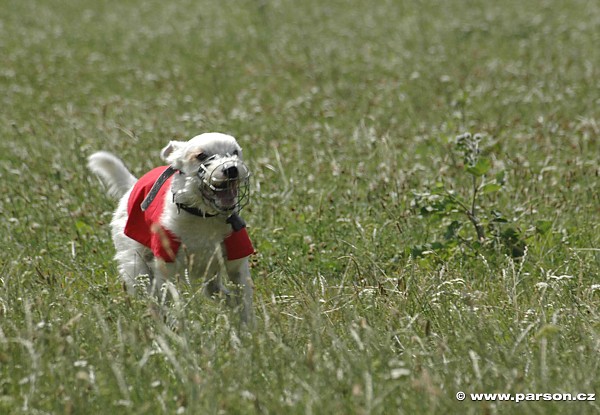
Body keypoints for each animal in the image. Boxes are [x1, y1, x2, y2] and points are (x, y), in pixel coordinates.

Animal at [89, 133, 255, 324]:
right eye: (201, 155)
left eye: (235, 152)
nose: (231, 169)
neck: (202, 216)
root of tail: (133, 185)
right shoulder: (166, 266)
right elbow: (168, 298)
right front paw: (176, 325)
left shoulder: (237, 264)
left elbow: (244, 300)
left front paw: (248, 328)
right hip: (136, 262)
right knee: (148, 289)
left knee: (214, 290)